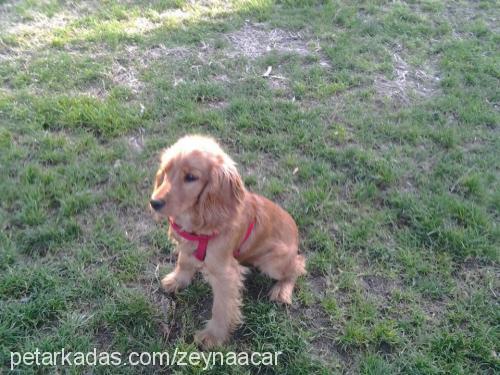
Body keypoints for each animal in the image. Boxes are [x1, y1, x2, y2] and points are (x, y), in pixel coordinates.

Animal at [149, 136, 304, 350]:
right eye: (165, 172)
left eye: (191, 177)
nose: (154, 202)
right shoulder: (187, 245)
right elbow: (184, 262)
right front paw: (177, 280)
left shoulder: (226, 273)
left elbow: (222, 307)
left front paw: (212, 337)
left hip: (272, 261)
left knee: (298, 266)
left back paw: (282, 291)